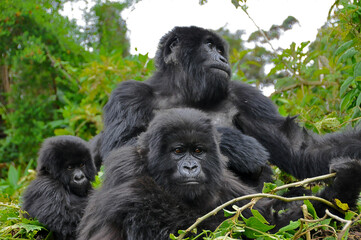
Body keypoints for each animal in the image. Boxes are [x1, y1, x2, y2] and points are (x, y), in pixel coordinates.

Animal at [77, 109, 360, 240]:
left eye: (198, 151)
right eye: (178, 151)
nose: (191, 167)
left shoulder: (227, 185)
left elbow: (269, 222)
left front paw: (344, 184)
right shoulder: (127, 170)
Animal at [98, 25, 361, 186]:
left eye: (219, 48)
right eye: (208, 46)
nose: (223, 58)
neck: (182, 90)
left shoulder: (247, 96)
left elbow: (300, 147)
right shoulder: (128, 95)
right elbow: (119, 150)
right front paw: (237, 145)